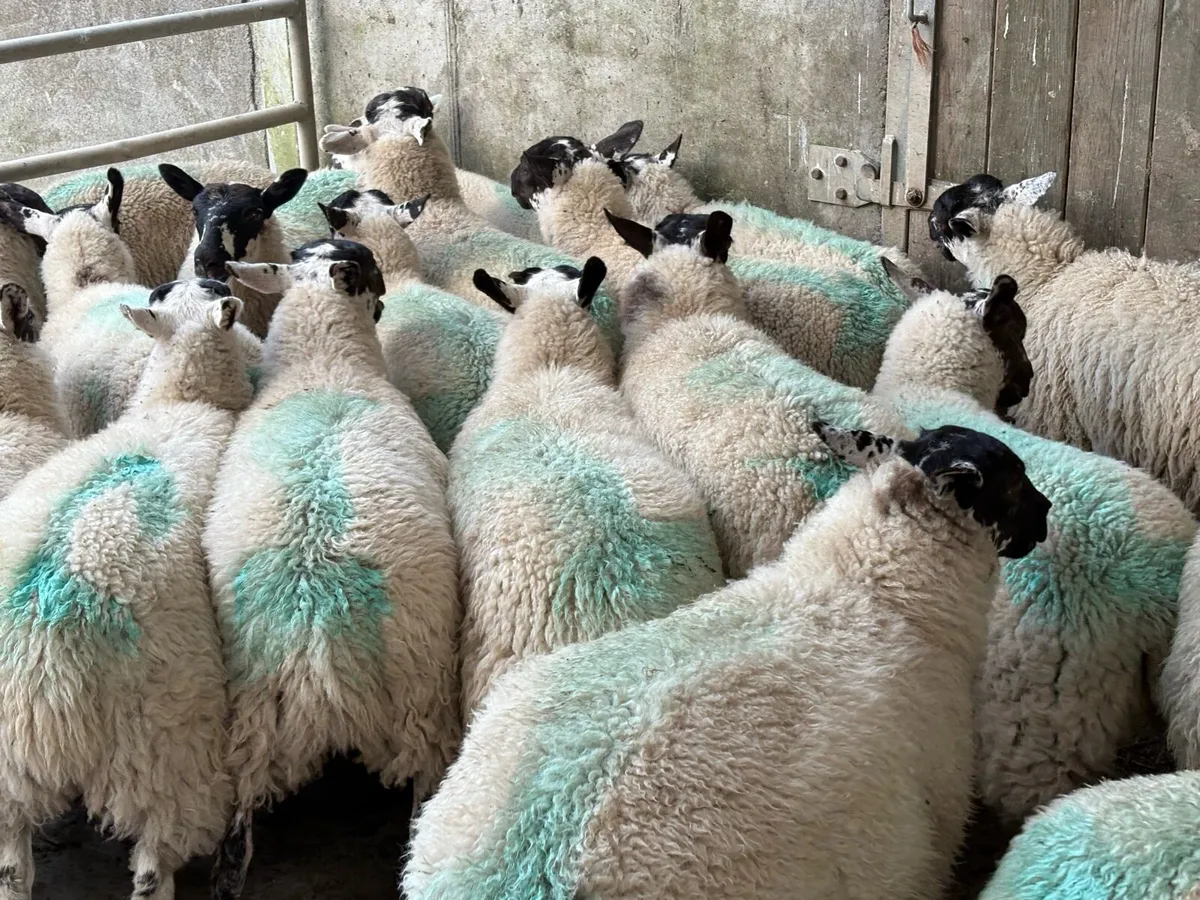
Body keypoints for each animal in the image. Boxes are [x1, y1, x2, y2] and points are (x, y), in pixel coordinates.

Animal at [206, 238, 460, 899]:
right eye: (373, 272)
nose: (386, 301)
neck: (323, 366)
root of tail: (318, 626)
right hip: (420, 699)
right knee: (423, 794)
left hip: (252, 710)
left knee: (236, 836)